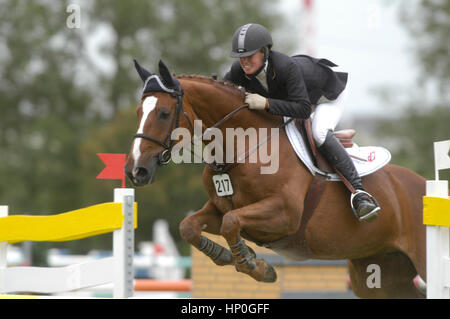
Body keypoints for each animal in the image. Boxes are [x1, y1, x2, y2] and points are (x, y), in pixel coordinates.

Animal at [125, 60, 428, 300]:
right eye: (138, 113)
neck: (243, 146)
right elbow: (190, 226)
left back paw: (364, 203)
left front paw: (255, 266)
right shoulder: (219, 207)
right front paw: (229, 256)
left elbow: (231, 223)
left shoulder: (284, 214)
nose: (136, 171)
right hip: (379, 270)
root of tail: (424, 185)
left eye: (164, 113)